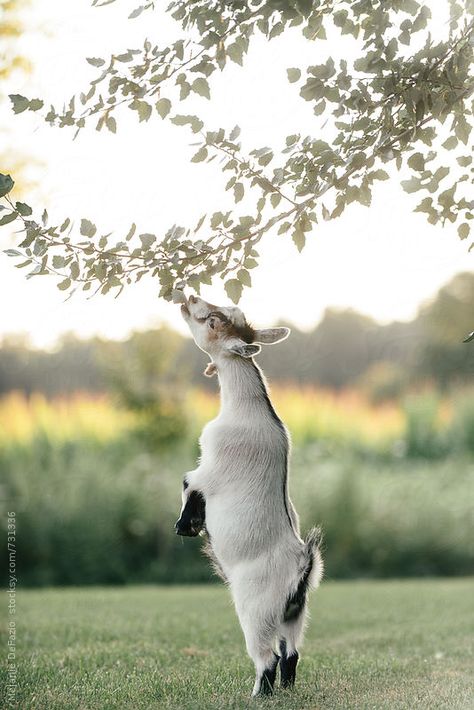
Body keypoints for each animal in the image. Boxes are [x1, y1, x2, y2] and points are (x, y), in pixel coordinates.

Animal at [176, 294, 324, 696]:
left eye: (212, 321)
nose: (189, 297)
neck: (246, 406)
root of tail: (302, 569)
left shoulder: (209, 468)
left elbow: (188, 482)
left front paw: (185, 525)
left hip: (255, 611)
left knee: (267, 657)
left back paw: (257, 694)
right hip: (295, 615)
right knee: (291, 654)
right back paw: (285, 691)